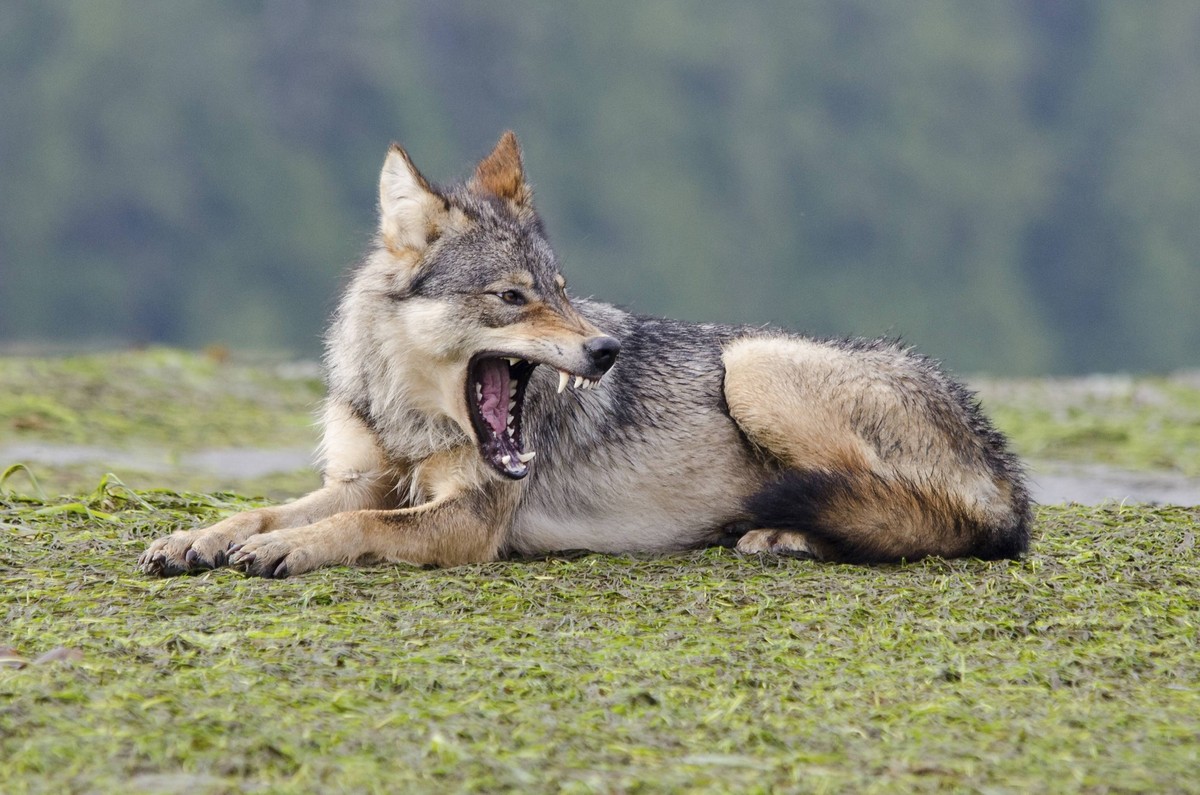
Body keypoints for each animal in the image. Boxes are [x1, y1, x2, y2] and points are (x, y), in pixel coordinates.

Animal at [139, 132, 1031, 579]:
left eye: (562, 290)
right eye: (513, 297)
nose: (606, 348)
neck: (412, 416)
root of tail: (1008, 471)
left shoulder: (467, 521)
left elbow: (355, 524)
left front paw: (283, 550)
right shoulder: (364, 475)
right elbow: (272, 508)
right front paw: (201, 537)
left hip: (752, 365)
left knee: (917, 517)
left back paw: (785, 533)